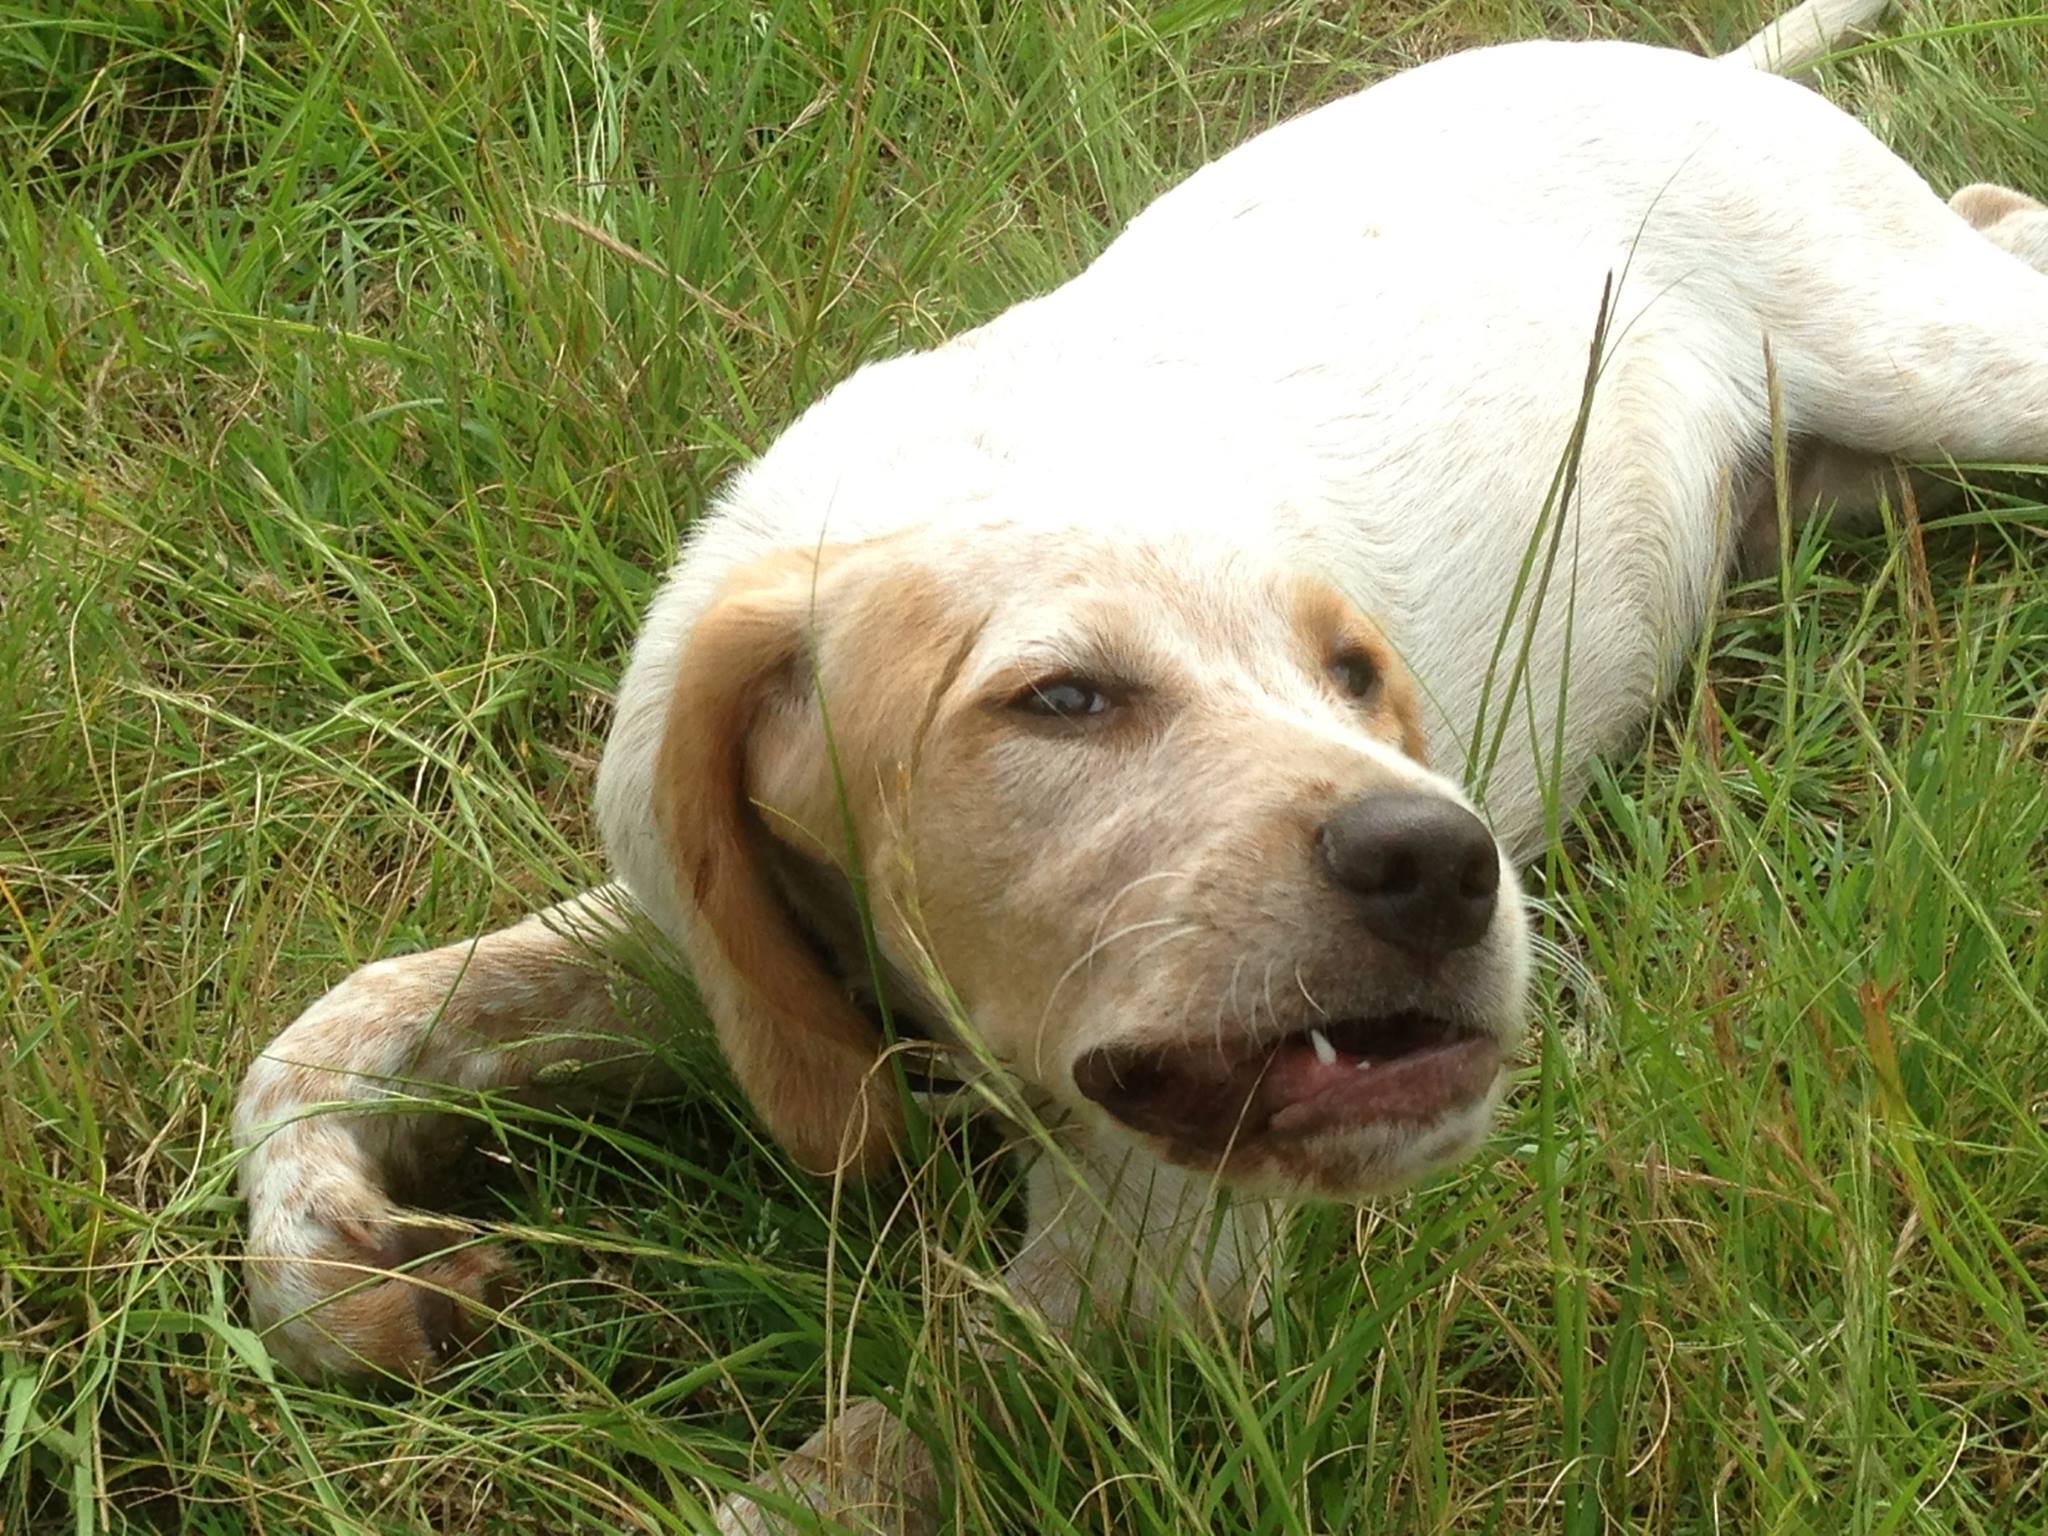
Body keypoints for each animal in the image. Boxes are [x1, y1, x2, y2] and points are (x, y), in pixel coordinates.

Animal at [232, 0, 2048, 1528]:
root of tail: (1703, 68)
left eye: (1353, 673)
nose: (1451, 867)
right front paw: (331, 1263)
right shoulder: (700, 932)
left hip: (1940, 359)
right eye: (1061, 701)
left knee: (2002, 235)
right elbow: (333, 1027)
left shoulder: (1153, 1258)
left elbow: (822, 1480)